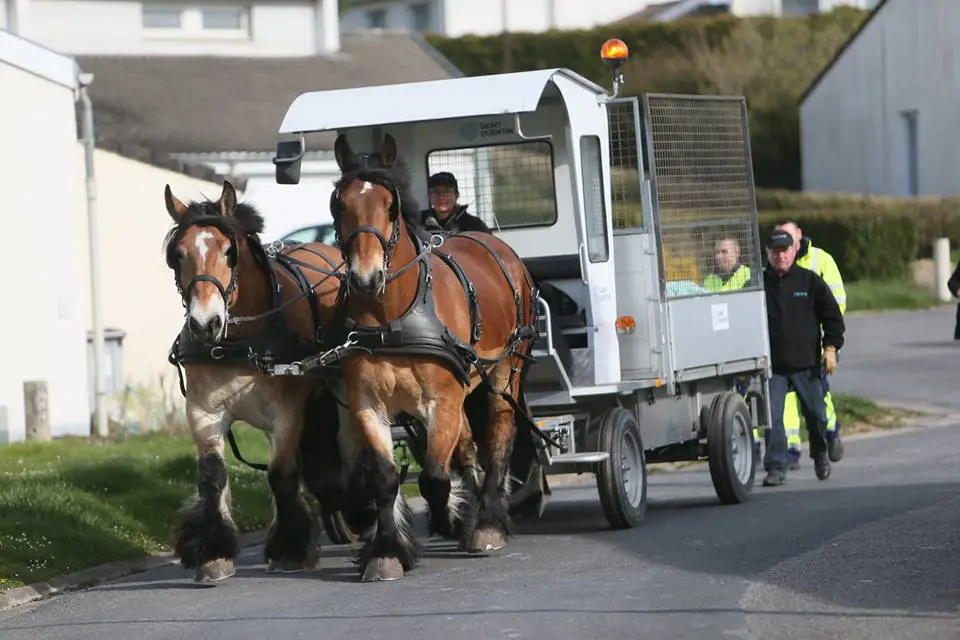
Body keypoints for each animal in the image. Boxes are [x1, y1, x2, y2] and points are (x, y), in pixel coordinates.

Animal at [162, 180, 370, 583]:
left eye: (229, 252)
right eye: (177, 254)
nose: (204, 324)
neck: (239, 343)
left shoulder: (285, 412)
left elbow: (281, 474)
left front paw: (290, 549)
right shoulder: (203, 411)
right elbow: (211, 475)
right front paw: (212, 553)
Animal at [327, 133, 540, 582]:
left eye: (390, 205)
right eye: (339, 203)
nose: (366, 278)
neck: (391, 316)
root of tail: (495, 243)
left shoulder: (441, 401)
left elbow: (434, 479)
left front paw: (451, 517)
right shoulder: (368, 404)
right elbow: (385, 479)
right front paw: (386, 551)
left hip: (506, 369)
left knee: (498, 431)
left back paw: (488, 521)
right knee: (467, 444)